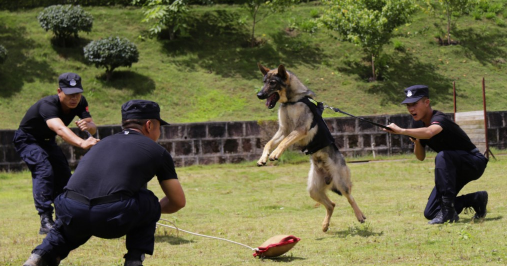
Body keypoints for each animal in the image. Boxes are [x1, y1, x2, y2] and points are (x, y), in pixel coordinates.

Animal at [258, 63, 366, 232]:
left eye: (273, 83)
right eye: (264, 82)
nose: (259, 94)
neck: (292, 101)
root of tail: (328, 176)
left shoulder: (299, 130)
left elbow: (284, 142)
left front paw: (276, 154)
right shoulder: (283, 130)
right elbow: (269, 143)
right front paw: (263, 158)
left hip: (341, 183)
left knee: (350, 197)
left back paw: (360, 215)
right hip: (313, 190)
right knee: (331, 204)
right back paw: (325, 225)